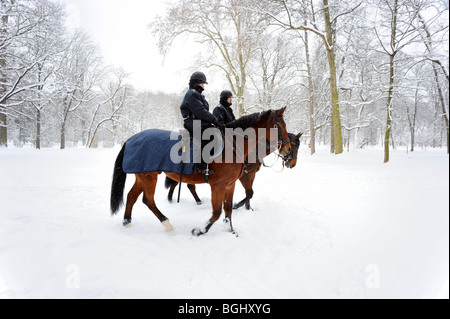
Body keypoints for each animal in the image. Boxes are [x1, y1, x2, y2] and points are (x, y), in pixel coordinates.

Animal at [163, 132, 304, 210]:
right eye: (293, 146)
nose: (293, 164)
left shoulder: (250, 175)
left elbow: (249, 193)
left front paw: (248, 208)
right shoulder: (243, 177)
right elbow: (249, 193)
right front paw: (236, 205)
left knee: (182, 184)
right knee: (181, 184)